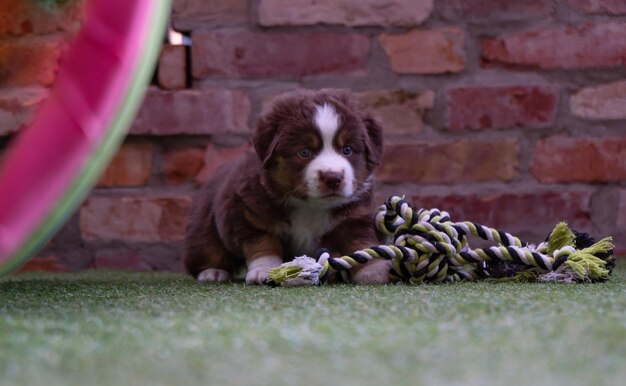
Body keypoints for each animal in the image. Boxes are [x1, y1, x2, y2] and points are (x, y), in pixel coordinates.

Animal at [180, 89, 388, 284]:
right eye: (304, 152)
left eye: (347, 150)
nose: (333, 177)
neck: (310, 206)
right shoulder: (246, 213)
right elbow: (263, 244)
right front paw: (265, 270)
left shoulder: (354, 216)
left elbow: (360, 243)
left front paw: (374, 270)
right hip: (204, 227)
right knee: (207, 249)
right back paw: (212, 272)